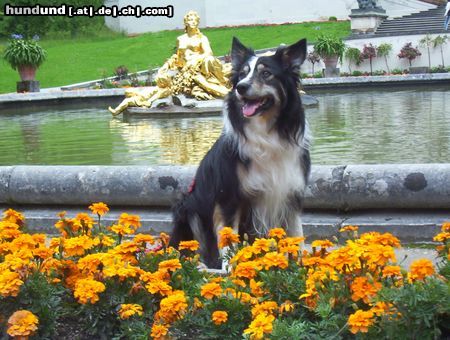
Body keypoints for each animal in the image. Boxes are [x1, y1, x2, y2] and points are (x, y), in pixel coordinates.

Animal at [168, 37, 310, 268]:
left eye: (266, 73)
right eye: (242, 74)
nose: (241, 88)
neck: (266, 135)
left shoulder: (291, 191)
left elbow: (297, 233)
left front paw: (301, 263)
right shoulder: (228, 195)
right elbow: (228, 236)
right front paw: (231, 267)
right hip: (187, 206)